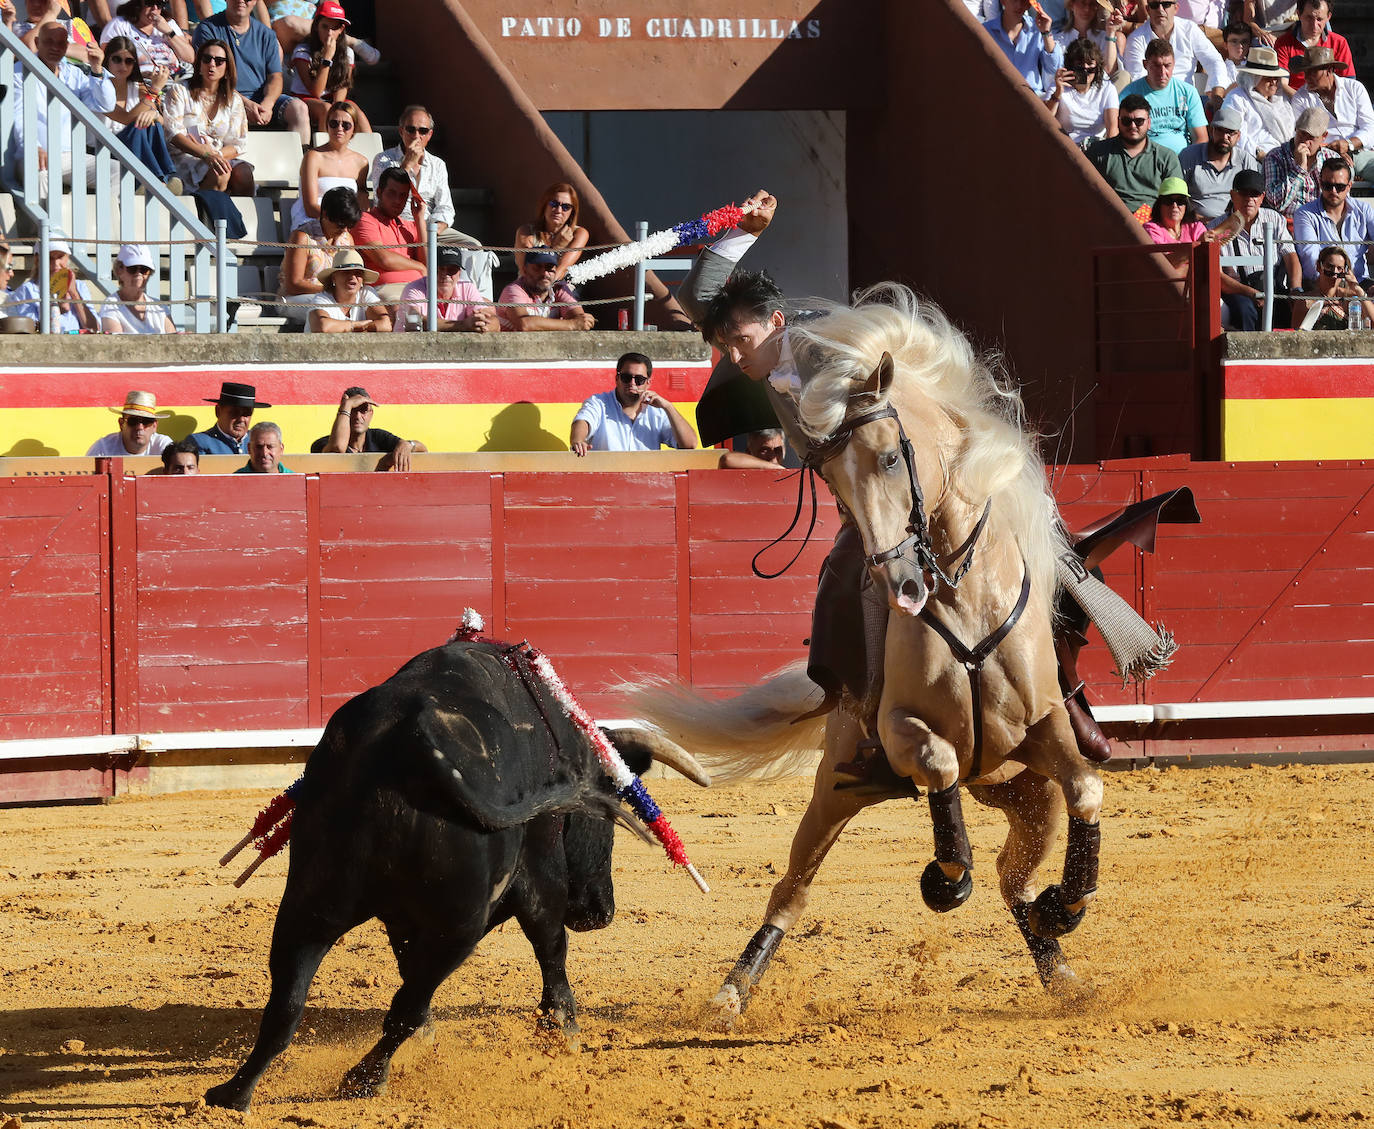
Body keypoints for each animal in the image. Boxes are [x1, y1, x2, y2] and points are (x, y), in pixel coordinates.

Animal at [211, 640, 719, 1120]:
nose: (601, 912)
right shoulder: (540, 864)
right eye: (608, 813)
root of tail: (412, 742)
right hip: (460, 924)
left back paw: (233, 1095)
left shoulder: (402, 919)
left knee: (288, 1003)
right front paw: (564, 1030)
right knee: (408, 1005)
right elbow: (549, 943)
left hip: (311, 900)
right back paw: (364, 1078)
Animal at [632, 285, 1104, 1027]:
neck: (962, 591)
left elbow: (1087, 786)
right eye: (830, 473)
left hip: (1022, 791)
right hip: (834, 786)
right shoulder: (901, 729)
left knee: (1015, 877)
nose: (902, 584)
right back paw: (731, 992)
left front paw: (1069, 903)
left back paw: (1057, 960)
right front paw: (946, 878)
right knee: (792, 890)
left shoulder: (1045, 726)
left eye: (889, 458)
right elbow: (939, 763)